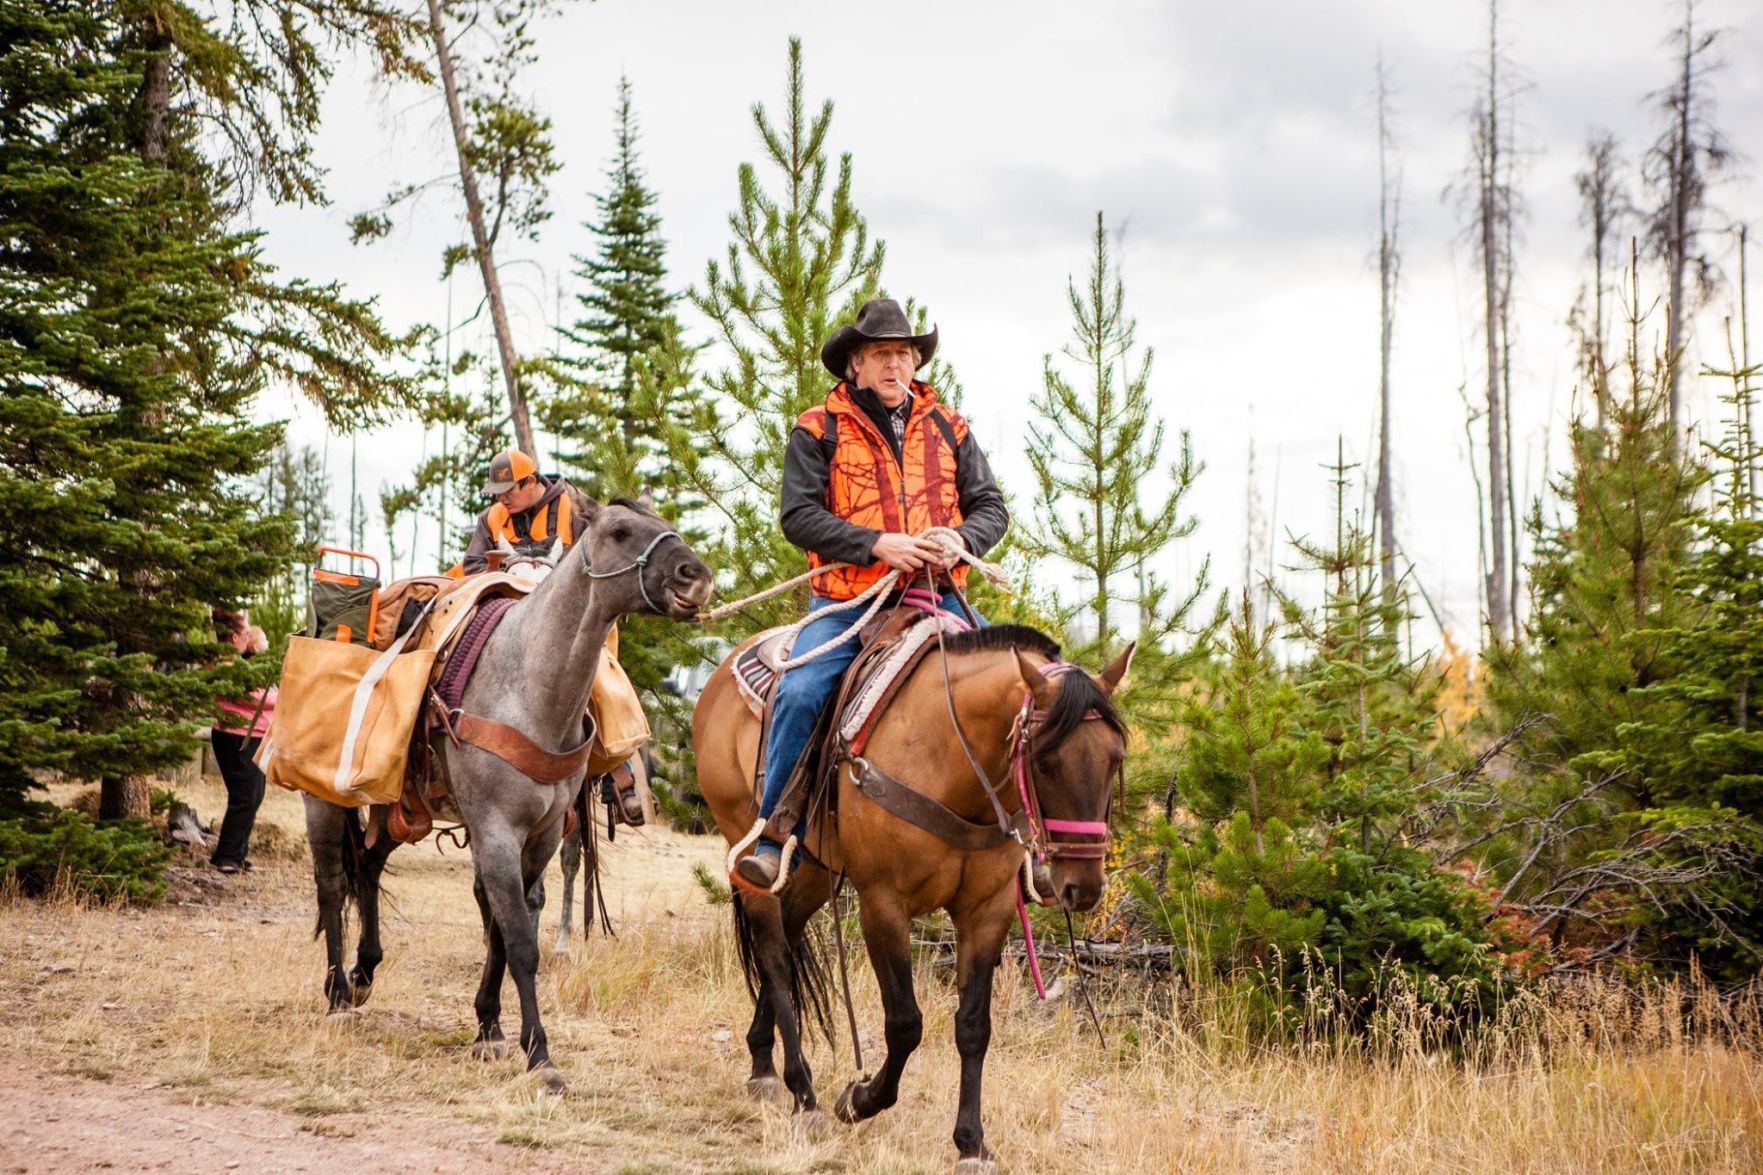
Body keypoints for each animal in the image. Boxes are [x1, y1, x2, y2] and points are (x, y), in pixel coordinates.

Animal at [303, 490, 708, 1086]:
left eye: (668, 524)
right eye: (619, 531)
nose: (695, 578)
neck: (530, 688)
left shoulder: (540, 836)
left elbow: (502, 925)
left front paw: (490, 1027)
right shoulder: (495, 832)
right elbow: (518, 939)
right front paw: (539, 1054)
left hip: (398, 808)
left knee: (370, 867)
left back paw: (363, 974)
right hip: (324, 800)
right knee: (333, 884)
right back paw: (335, 991)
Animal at [691, 617, 1128, 1164]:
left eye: (1115, 758)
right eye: (1046, 760)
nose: (1082, 887)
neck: (952, 758)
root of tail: (721, 675)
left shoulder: (988, 911)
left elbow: (973, 1026)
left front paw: (971, 1143)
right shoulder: (883, 904)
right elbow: (904, 1023)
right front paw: (859, 1099)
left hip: (812, 867)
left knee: (788, 944)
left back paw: (763, 1064)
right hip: (746, 842)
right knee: (772, 952)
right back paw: (803, 1093)